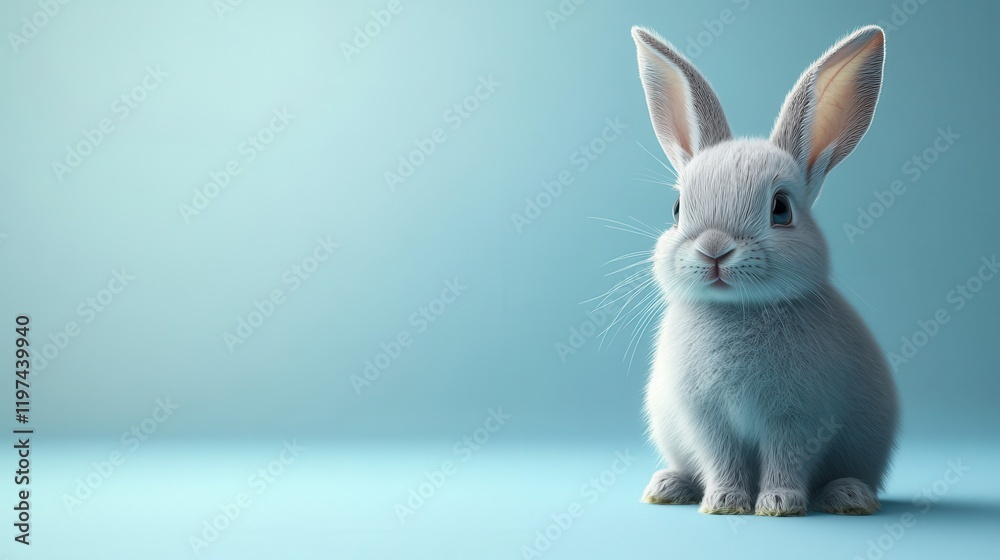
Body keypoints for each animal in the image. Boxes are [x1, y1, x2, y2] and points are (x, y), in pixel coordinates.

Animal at [630, 24, 900, 516]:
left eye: (781, 209)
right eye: (677, 208)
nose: (714, 250)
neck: (737, 310)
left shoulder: (799, 419)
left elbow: (786, 459)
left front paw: (778, 502)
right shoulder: (706, 419)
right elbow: (721, 457)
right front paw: (723, 502)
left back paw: (849, 496)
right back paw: (667, 487)